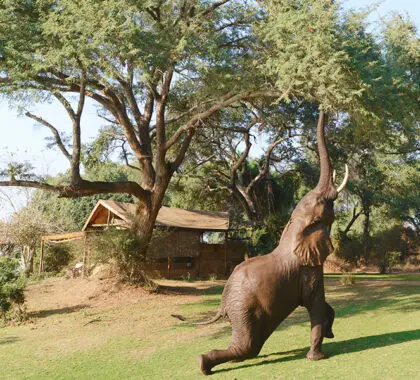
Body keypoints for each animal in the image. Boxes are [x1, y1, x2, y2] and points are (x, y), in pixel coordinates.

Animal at [173, 110, 348, 374]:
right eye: (323, 203)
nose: (323, 109)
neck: (294, 228)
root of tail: (223, 303)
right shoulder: (308, 271)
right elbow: (315, 304)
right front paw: (318, 357)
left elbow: (325, 307)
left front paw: (329, 335)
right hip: (245, 308)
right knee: (248, 345)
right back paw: (204, 364)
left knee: (248, 346)